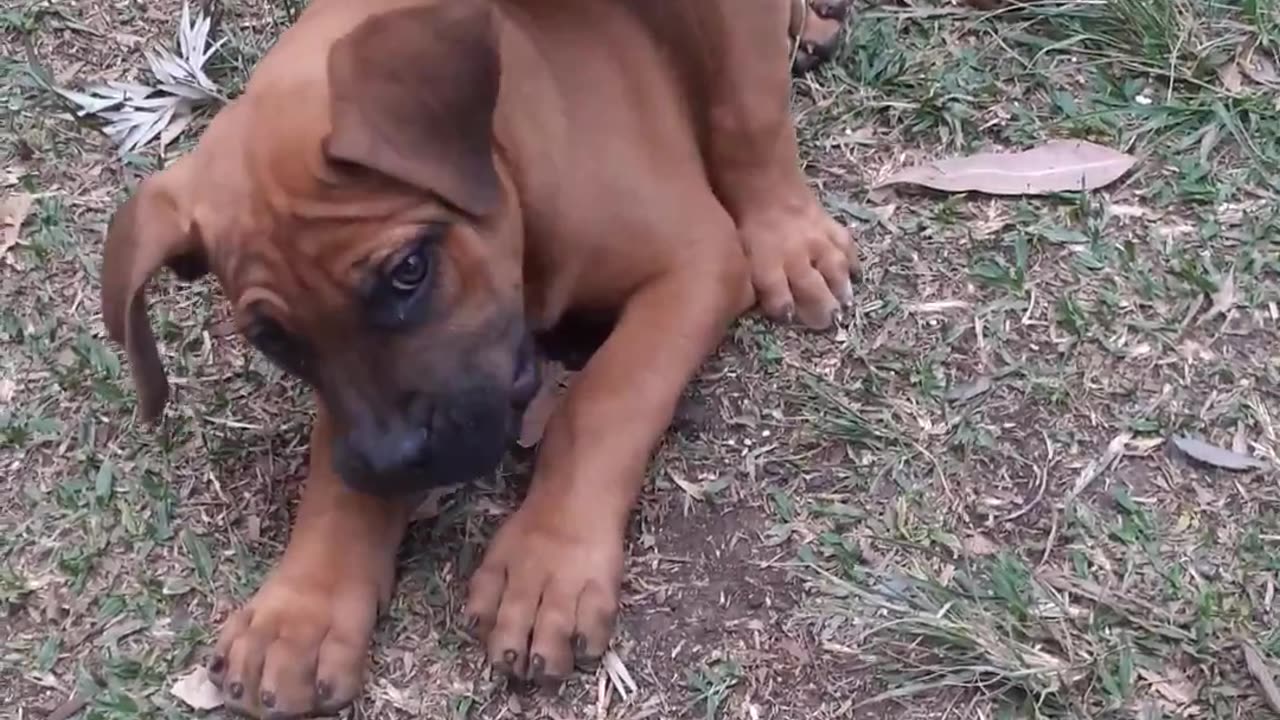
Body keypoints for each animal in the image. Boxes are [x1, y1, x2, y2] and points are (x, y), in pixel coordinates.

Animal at [99, 0, 860, 712]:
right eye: (274, 340)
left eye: (409, 271)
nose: (390, 463)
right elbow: (333, 458)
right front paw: (302, 609)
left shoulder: (695, 262)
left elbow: (605, 398)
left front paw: (548, 565)